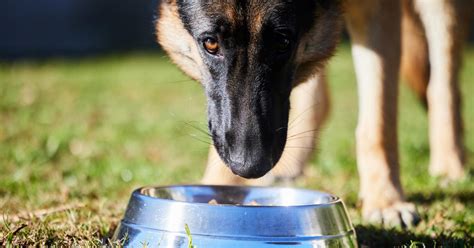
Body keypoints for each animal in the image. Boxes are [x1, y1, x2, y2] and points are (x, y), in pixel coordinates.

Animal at [156, 0, 470, 228]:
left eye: (282, 42)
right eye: (210, 43)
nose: (249, 167)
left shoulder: (378, 11)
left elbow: (379, 119)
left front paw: (385, 201)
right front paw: (218, 185)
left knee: (443, 82)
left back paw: (450, 163)